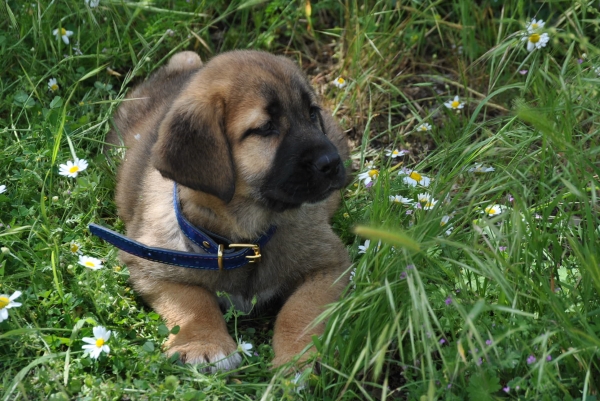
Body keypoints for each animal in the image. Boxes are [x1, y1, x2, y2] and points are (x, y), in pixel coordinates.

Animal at [101, 50, 350, 372]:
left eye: (311, 113)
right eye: (266, 128)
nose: (331, 163)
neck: (245, 241)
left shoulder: (329, 264)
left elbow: (301, 309)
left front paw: (298, 357)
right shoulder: (150, 263)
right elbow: (193, 301)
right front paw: (205, 343)